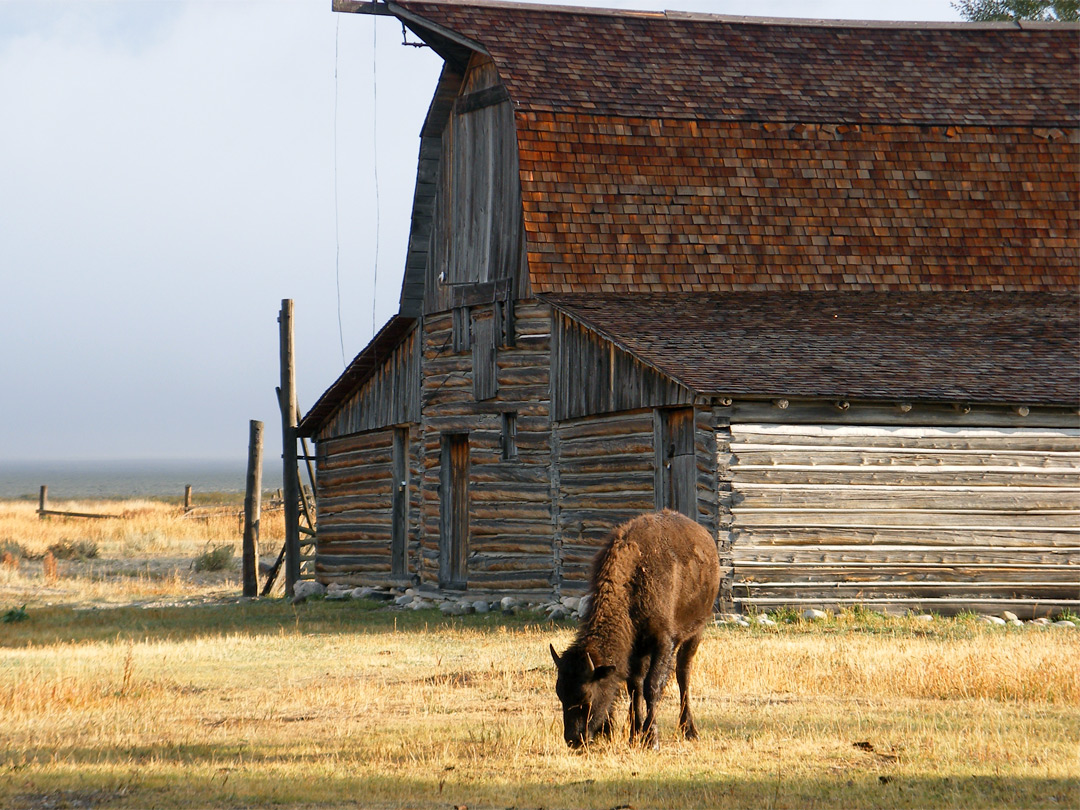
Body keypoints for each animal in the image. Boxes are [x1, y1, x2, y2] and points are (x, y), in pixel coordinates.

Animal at [552, 509, 721, 751]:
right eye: (560, 692)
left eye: (586, 696)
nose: (574, 739)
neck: (632, 579)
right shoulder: (636, 646)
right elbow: (635, 686)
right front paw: (634, 735)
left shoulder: (663, 640)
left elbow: (652, 686)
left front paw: (651, 739)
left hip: (696, 631)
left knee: (683, 674)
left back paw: (689, 730)